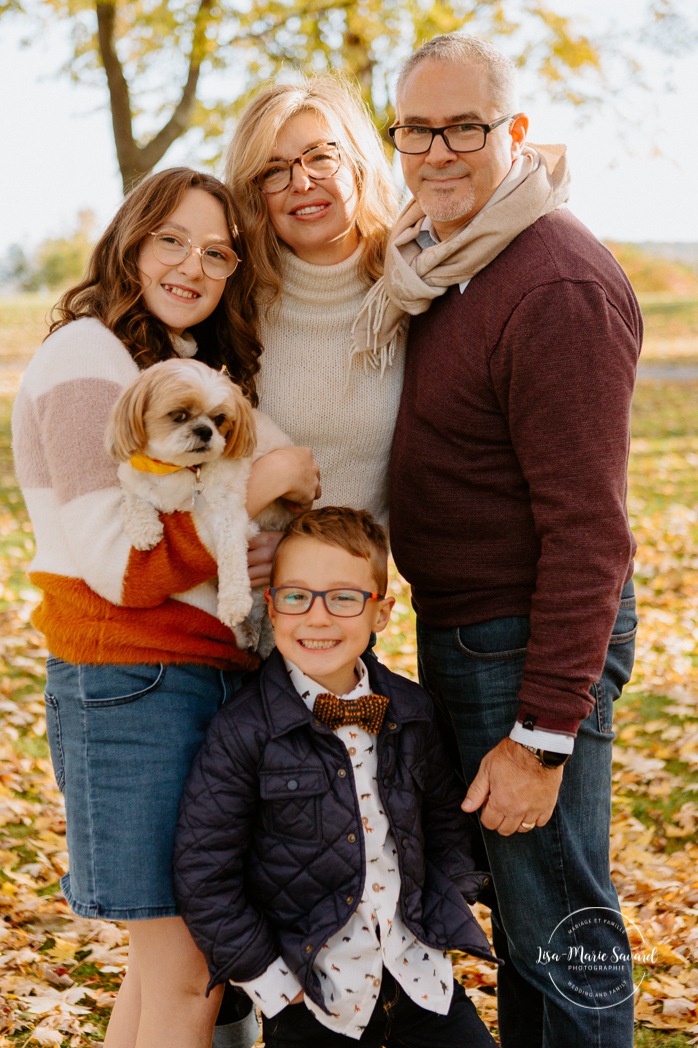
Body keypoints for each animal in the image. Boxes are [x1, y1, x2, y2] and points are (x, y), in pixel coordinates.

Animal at [105, 360, 293, 653]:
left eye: (220, 419)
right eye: (179, 415)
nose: (205, 431)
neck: (175, 469)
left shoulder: (228, 511)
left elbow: (231, 557)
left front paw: (233, 603)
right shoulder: (132, 476)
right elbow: (133, 500)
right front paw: (145, 530)